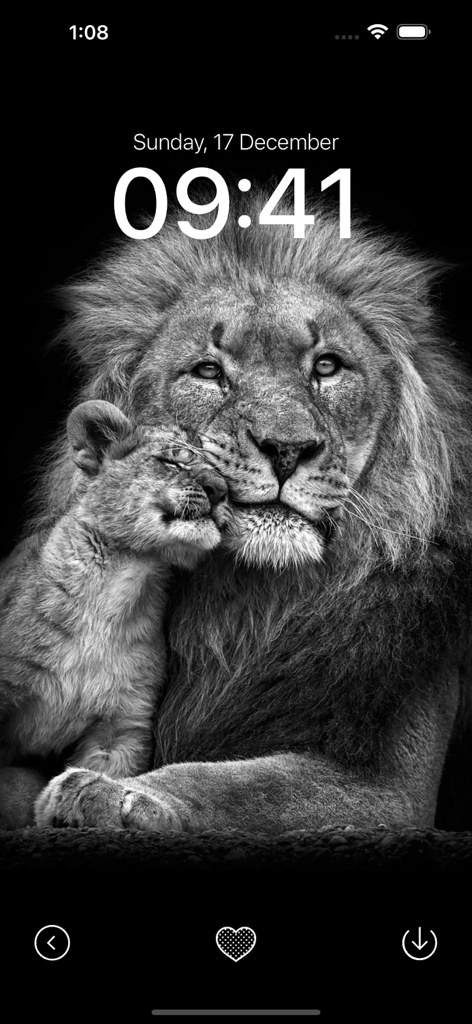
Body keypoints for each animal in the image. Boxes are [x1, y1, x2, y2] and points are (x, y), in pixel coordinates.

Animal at [2, 187, 472, 833]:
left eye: (327, 366)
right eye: (208, 371)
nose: (286, 449)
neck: (246, 605)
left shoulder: (393, 791)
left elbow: (241, 786)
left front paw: (113, 792)